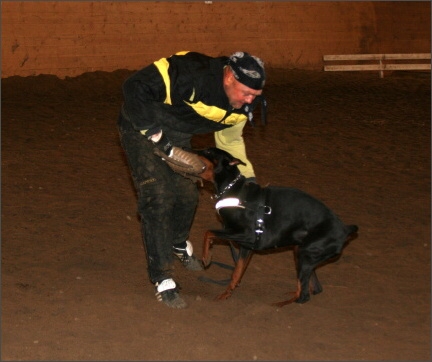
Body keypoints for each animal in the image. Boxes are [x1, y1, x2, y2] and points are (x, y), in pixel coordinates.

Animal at [196, 147, 358, 306]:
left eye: (209, 152)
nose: (193, 150)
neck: (232, 189)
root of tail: (345, 229)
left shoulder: (247, 235)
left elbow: (208, 232)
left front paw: (207, 257)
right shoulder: (246, 247)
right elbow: (237, 272)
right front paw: (227, 293)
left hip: (305, 254)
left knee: (304, 296)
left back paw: (279, 305)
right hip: (302, 251)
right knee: (314, 288)